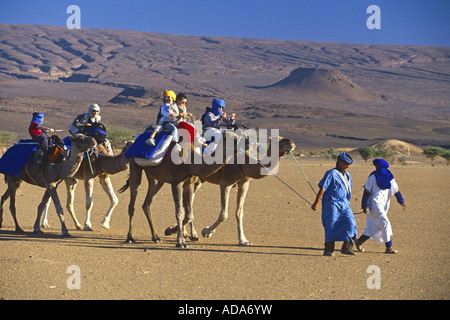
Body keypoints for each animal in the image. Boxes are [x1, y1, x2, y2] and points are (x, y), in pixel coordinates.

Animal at [165, 135, 296, 245]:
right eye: (276, 140)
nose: (291, 143)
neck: (244, 163)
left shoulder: (244, 183)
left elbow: (239, 213)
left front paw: (243, 240)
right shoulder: (225, 183)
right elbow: (224, 214)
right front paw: (206, 231)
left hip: (199, 180)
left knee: (188, 202)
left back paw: (190, 234)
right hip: (193, 178)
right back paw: (184, 233)